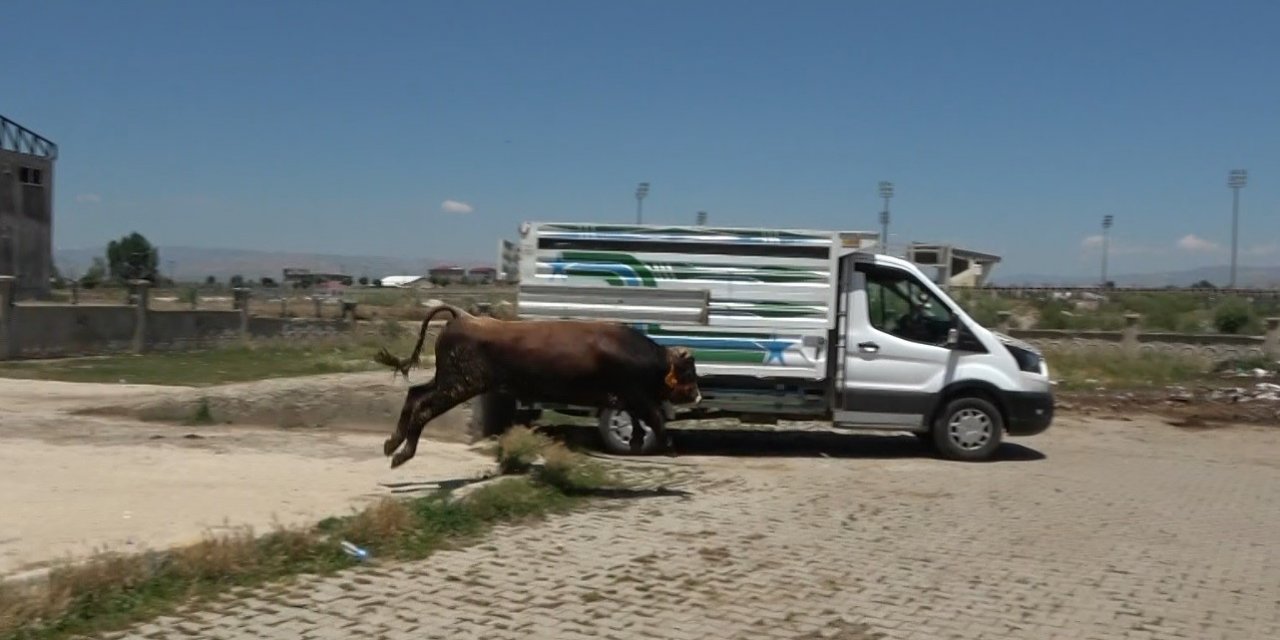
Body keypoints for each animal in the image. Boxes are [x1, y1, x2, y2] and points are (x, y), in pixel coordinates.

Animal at [373, 302, 706, 468]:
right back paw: (401, 454)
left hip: (447, 380)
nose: (698, 395)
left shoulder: (624, 397)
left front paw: (637, 440)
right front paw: (670, 447)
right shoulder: (635, 394)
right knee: (423, 407)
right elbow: (655, 417)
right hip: (459, 385)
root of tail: (464, 317)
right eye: (689, 374)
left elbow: (638, 419)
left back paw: (392, 443)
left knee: (415, 393)